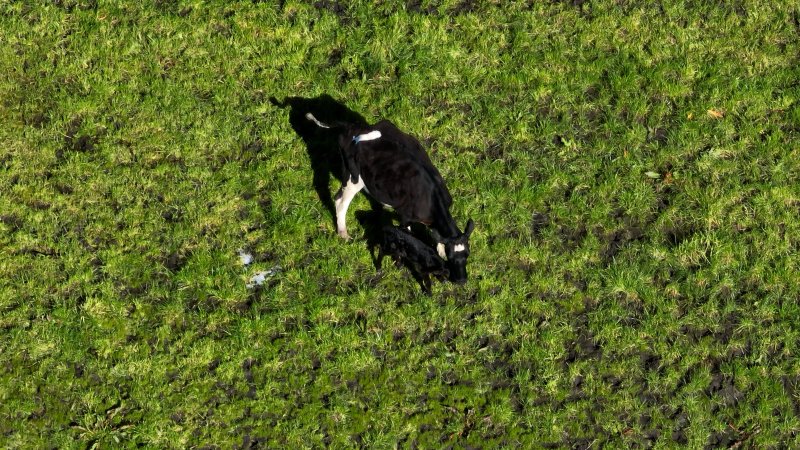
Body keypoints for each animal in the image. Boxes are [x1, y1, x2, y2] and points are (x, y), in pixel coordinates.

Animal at [306, 112, 476, 284]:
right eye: (451, 256)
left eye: (467, 254)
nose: (462, 280)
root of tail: (352, 126)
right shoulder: (405, 217)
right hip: (353, 177)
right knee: (340, 201)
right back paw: (344, 234)